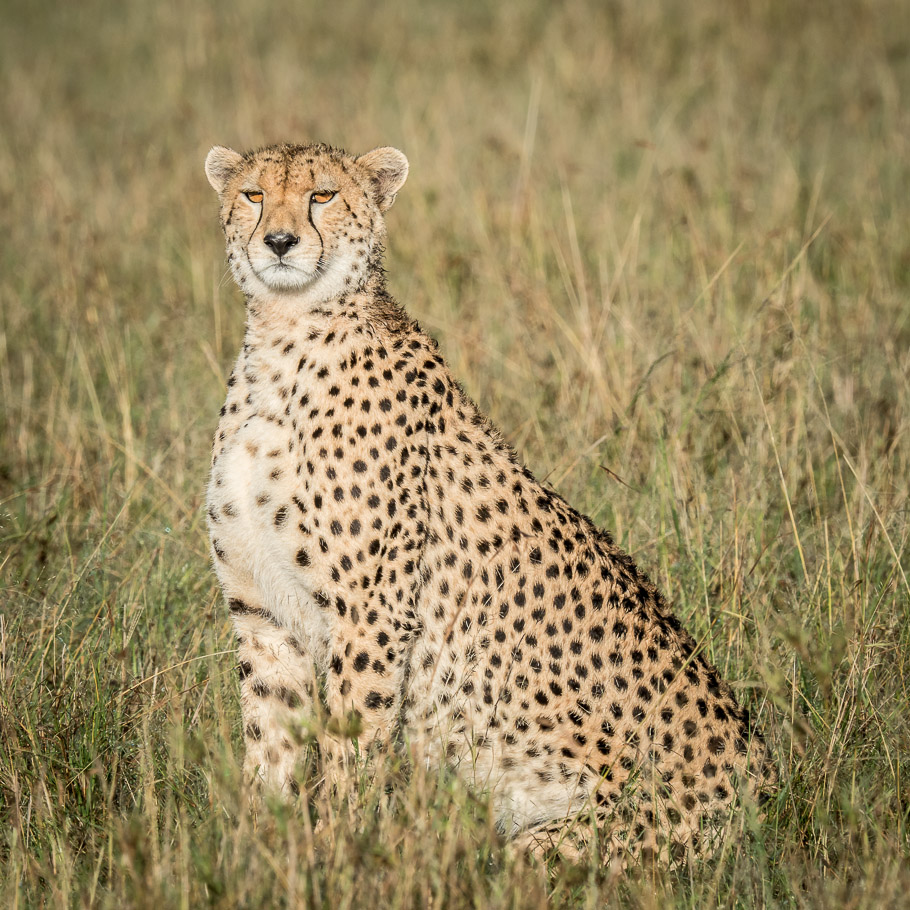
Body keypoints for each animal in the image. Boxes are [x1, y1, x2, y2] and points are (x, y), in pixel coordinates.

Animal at [203, 140, 776, 865]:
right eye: (253, 195)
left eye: (322, 195)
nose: (279, 241)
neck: (285, 333)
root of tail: (767, 778)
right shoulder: (263, 615)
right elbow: (270, 745)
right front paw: (257, 849)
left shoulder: (370, 614)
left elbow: (351, 747)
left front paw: (337, 851)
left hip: (565, 844)